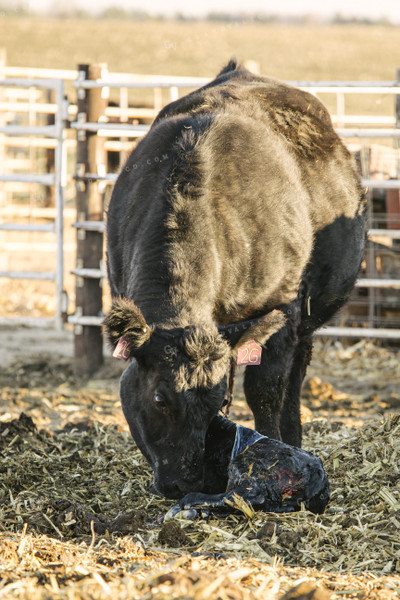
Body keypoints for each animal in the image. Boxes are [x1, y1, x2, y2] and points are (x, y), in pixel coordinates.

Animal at [103, 59, 366, 502]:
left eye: (217, 405)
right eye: (159, 399)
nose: (185, 483)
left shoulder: (281, 305)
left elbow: (265, 389)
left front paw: (273, 450)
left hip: (306, 317)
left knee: (294, 377)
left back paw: (293, 438)